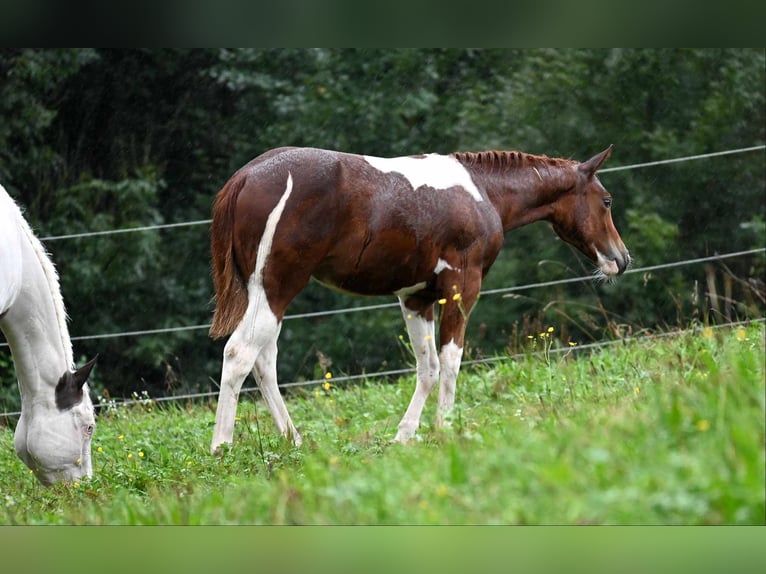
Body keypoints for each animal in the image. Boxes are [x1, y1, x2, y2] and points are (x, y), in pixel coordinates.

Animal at [208, 146, 632, 452]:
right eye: (607, 200)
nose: (621, 259)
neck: (482, 192)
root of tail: (244, 178)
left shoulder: (416, 298)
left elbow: (427, 366)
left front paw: (406, 434)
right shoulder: (461, 288)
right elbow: (451, 361)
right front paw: (446, 429)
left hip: (264, 294)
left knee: (264, 361)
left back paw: (292, 440)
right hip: (276, 288)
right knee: (240, 353)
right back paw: (221, 447)